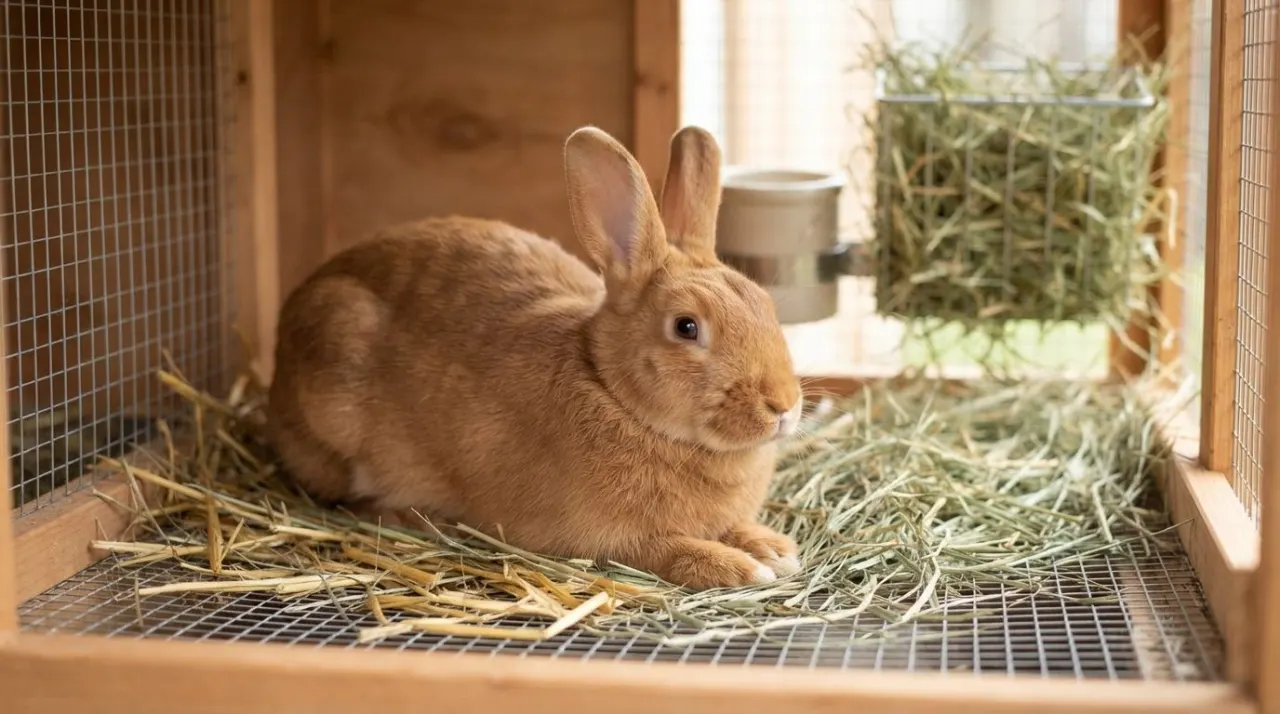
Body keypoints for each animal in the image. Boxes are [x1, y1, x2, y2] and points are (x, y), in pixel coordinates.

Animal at [266, 125, 805, 590]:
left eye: (766, 303)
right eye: (686, 327)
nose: (783, 405)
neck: (611, 390)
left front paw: (773, 549)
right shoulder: (604, 540)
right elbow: (662, 550)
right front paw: (740, 568)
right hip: (335, 394)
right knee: (346, 499)